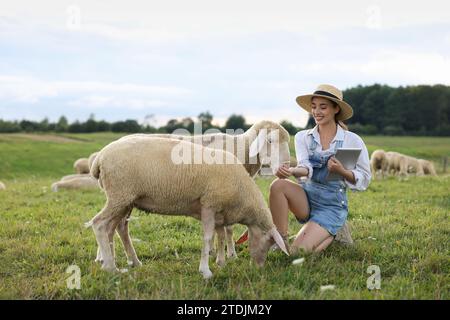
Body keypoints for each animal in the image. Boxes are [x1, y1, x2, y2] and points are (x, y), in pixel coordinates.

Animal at [85, 136, 288, 278]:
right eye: (269, 241)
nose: (260, 267)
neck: (243, 192)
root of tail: (100, 158)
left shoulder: (219, 213)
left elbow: (221, 236)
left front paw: (221, 262)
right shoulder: (209, 205)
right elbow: (207, 238)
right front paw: (205, 271)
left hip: (125, 199)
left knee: (115, 228)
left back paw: (128, 262)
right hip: (119, 195)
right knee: (100, 224)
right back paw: (110, 267)